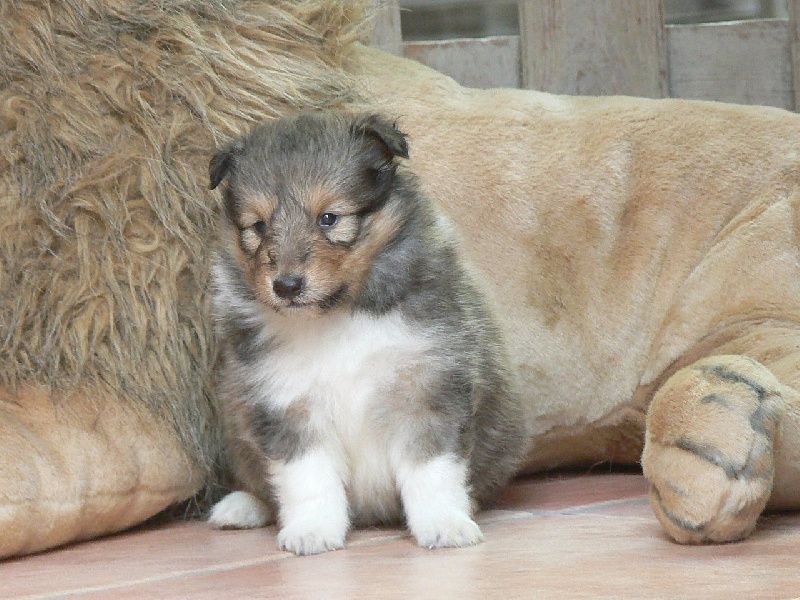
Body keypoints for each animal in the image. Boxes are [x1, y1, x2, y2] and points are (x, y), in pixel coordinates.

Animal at [209, 111, 528, 552]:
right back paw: (241, 507)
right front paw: (312, 531)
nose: (286, 286)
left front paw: (444, 524)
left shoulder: (426, 388)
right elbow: (307, 479)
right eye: (257, 226)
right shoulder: (286, 404)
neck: (336, 316)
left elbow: (432, 472)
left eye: (329, 218)